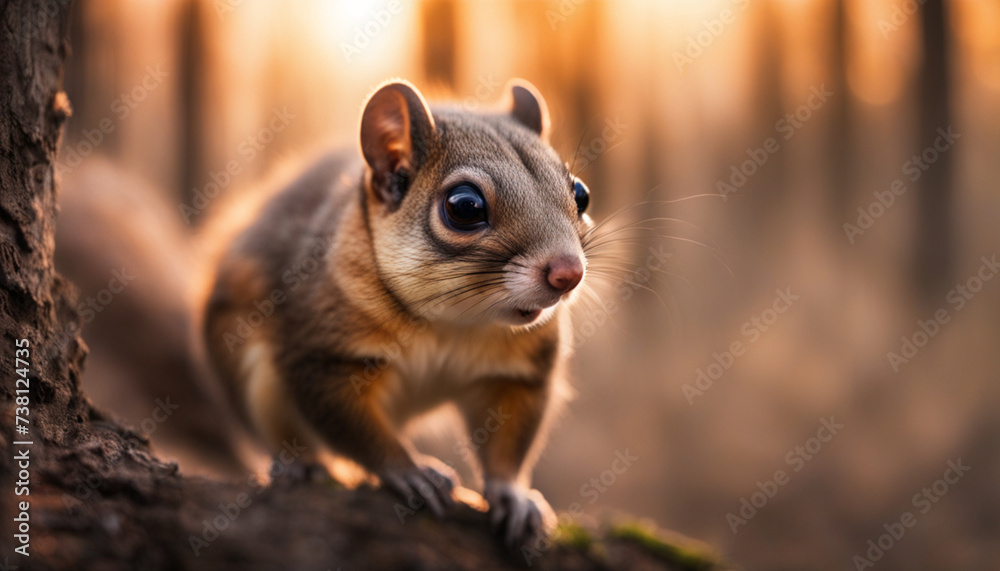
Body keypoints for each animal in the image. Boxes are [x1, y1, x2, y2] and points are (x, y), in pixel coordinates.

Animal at [201, 79, 593, 546]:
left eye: (580, 193)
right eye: (465, 206)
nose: (568, 273)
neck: (453, 323)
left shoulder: (520, 373)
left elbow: (510, 443)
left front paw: (511, 494)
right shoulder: (323, 354)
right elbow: (352, 426)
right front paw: (408, 471)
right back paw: (299, 465)